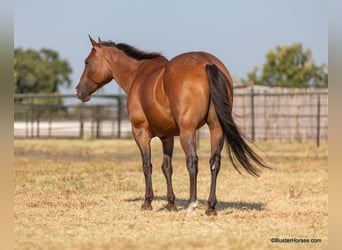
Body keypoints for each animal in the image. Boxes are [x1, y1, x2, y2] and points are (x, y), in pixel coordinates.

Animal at [76, 36, 268, 216]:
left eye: (87, 62)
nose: (78, 91)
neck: (138, 75)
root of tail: (207, 63)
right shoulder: (166, 136)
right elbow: (167, 167)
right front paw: (170, 203)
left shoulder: (140, 133)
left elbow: (147, 165)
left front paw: (147, 202)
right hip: (216, 129)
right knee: (214, 162)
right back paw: (211, 207)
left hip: (187, 132)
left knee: (192, 162)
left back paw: (192, 205)